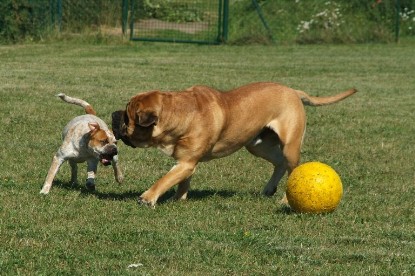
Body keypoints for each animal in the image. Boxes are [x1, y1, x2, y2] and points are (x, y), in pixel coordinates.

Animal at [113, 82, 358, 207]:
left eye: (127, 116)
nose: (114, 114)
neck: (178, 111)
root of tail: (294, 92)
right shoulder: (186, 161)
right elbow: (180, 181)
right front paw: (178, 199)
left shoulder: (186, 163)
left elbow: (164, 179)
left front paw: (147, 198)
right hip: (257, 145)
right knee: (278, 163)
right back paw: (269, 189)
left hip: (290, 145)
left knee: (293, 170)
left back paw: (286, 199)